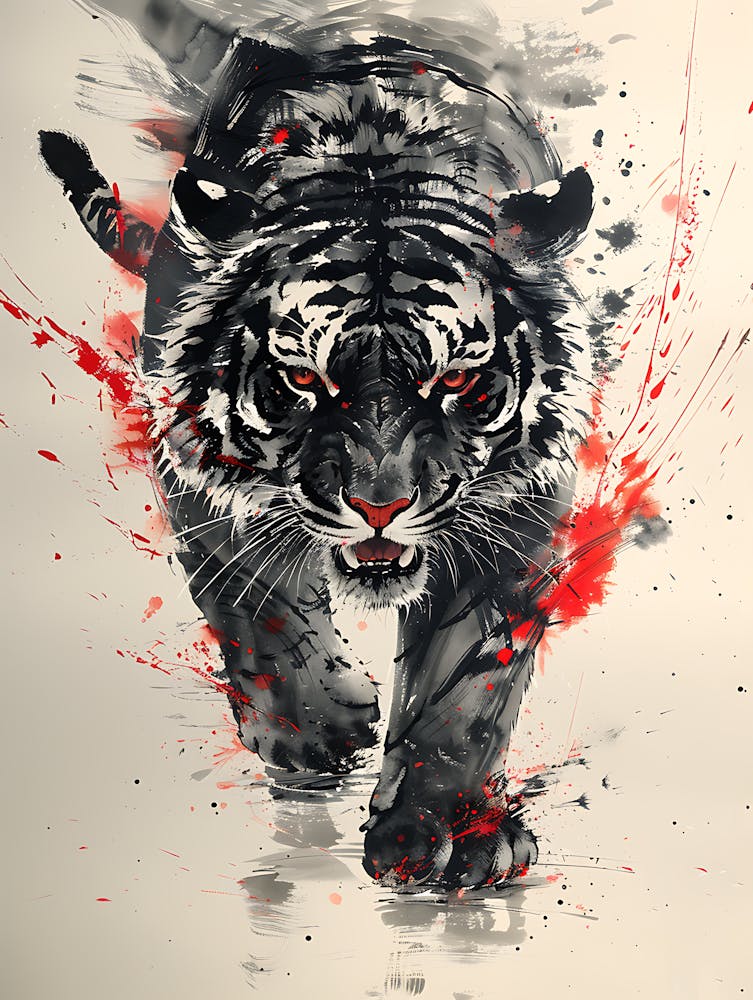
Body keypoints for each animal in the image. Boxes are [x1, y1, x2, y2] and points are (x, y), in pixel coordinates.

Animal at [39, 0, 594, 890]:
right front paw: (316, 731)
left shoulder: (515, 507)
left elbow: (465, 687)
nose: (380, 506)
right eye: (303, 378)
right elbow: (254, 603)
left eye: (453, 380)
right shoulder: (197, 471)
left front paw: (453, 833)